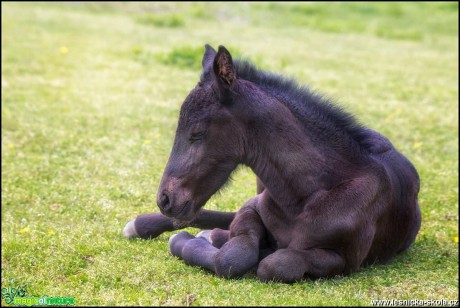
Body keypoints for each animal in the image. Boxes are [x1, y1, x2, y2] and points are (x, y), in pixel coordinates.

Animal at [123, 44, 420, 282]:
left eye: (197, 132)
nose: (165, 199)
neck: (307, 195)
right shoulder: (253, 207)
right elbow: (236, 254)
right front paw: (184, 240)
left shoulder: (343, 258)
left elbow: (273, 264)